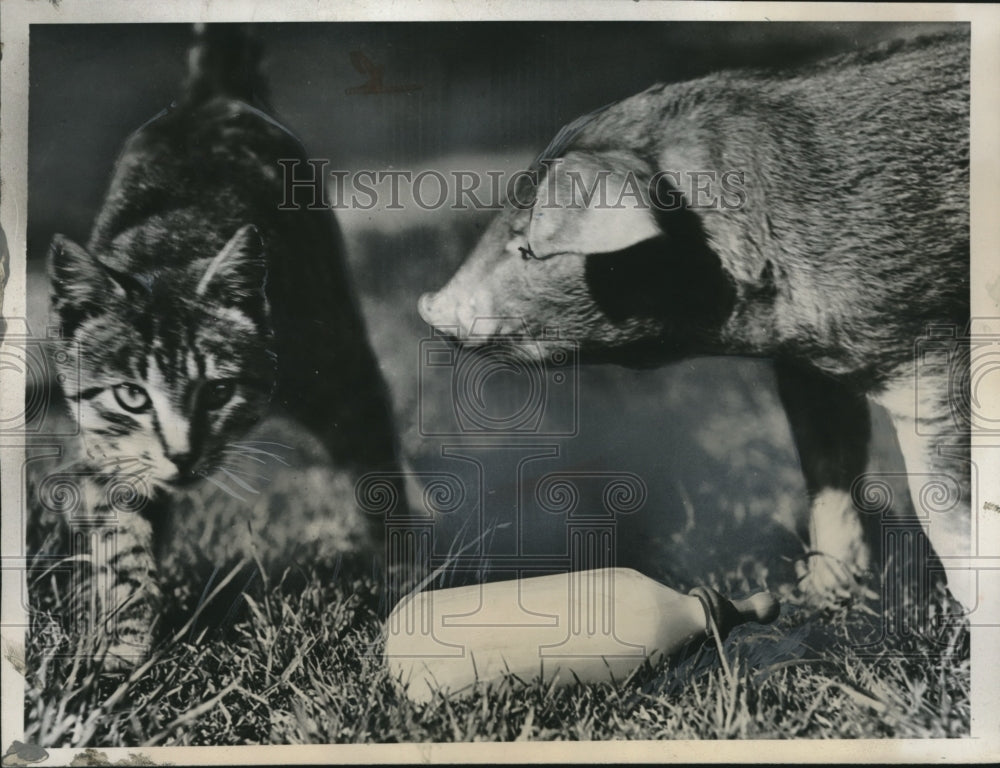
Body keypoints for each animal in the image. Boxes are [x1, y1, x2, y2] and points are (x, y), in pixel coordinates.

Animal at [46, 24, 406, 668]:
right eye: (132, 396)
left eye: (218, 391)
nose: (182, 456)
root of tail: (207, 93)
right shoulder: (109, 450)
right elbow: (124, 546)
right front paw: (124, 646)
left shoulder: (344, 380)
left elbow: (379, 474)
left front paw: (407, 578)